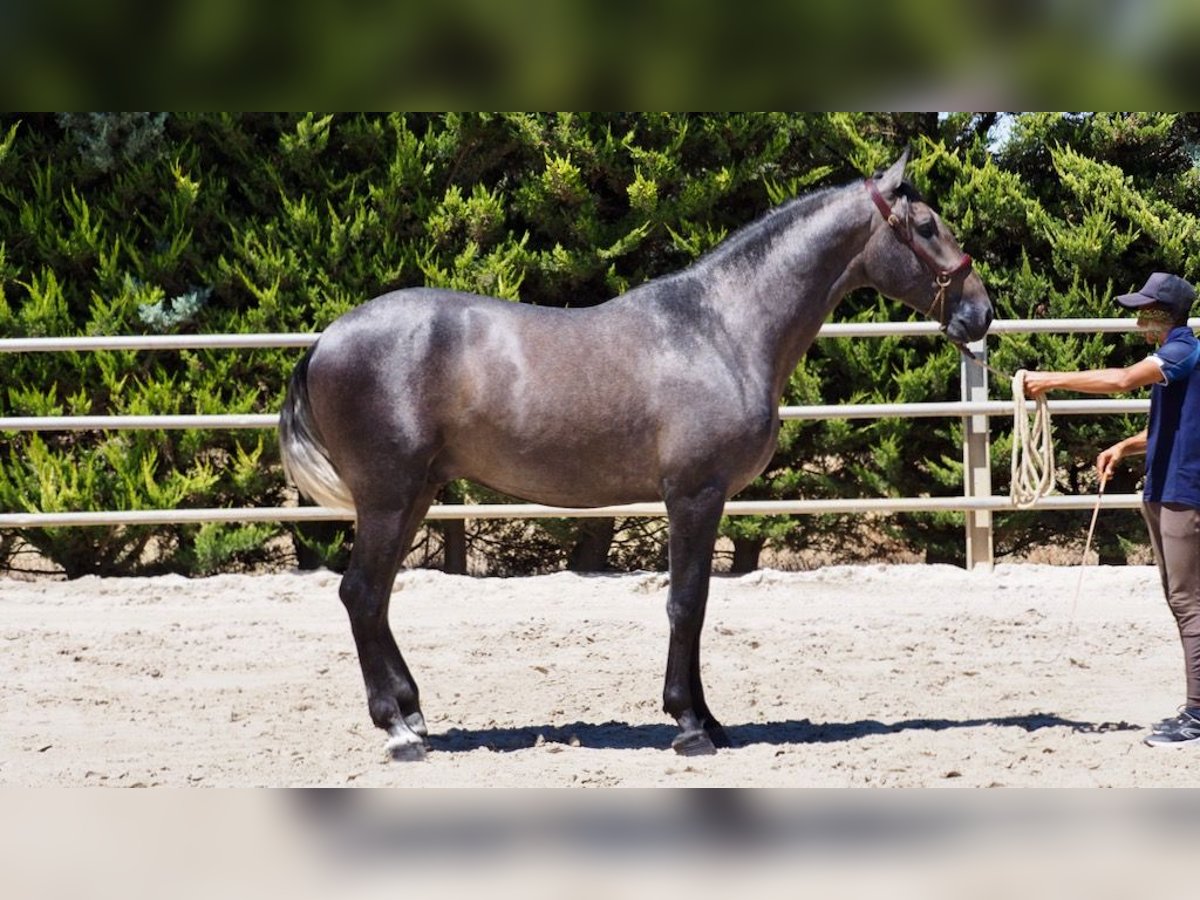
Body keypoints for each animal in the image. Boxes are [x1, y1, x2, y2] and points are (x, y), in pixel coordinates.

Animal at [280, 153, 993, 763]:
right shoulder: (695, 495)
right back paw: (398, 730)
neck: (721, 328)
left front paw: (709, 720)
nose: (980, 313)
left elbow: (695, 603)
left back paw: (414, 714)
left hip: (415, 494)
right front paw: (691, 725)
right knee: (361, 594)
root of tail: (326, 340)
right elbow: (687, 602)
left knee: (378, 598)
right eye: (926, 226)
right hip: (389, 496)